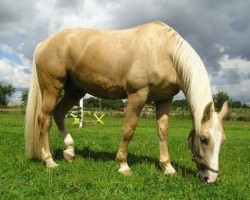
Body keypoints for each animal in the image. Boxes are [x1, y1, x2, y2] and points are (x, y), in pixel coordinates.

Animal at [25, 21, 229, 183]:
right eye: (203, 139)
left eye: (223, 140)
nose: (210, 178)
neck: (163, 51)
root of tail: (43, 43)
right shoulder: (137, 95)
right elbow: (129, 130)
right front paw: (123, 165)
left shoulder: (164, 99)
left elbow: (162, 131)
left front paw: (168, 168)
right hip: (52, 88)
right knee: (45, 120)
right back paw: (49, 161)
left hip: (75, 91)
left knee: (59, 114)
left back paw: (69, 152)